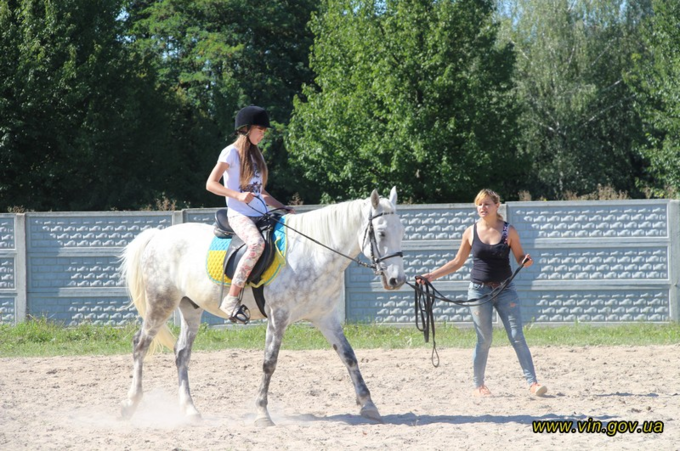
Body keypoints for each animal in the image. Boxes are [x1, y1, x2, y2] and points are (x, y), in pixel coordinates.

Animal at [119, 187, 406, 428]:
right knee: (140, 345)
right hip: (161, 303)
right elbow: (269, 362)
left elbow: (349, 356)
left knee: (181, 354)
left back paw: (190, 410)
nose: (397, 280)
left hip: (191, 309)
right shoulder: (278, 317)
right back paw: (130, 405)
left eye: (401, 232)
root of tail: (158, 236)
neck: (314, 253)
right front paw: (261, 413)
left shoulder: (326, 317)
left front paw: (369, 405)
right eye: (381, 233)